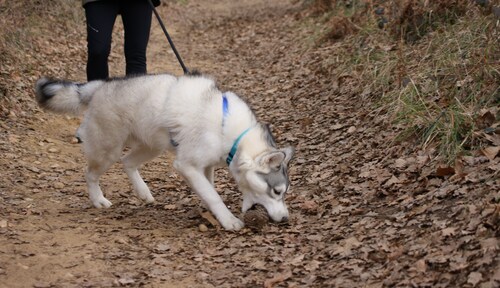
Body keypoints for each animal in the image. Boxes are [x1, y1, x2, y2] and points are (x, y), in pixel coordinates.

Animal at [35, 74, 292, 232]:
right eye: (277, 191)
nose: (286, 219)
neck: (227, 129)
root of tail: (100, 86)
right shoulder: (187, 165)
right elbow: (213, 195)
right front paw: (228, 220)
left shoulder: (206, 166)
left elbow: (208, 189)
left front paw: (211, 211)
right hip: (108, 150)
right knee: (90, 174)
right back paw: (98, 199)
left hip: (152, 146)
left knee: (127, 162)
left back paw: (143, 192)